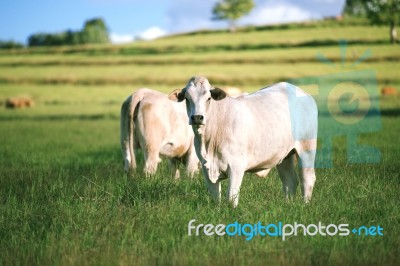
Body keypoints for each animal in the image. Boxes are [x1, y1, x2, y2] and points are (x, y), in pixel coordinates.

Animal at [169, 76, 318, 207]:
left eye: (209, 98)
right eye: (187, 98)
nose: (197, 117)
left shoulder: (236, 166)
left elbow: (231, 198)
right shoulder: (207, 168)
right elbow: (216, 197)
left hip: (307, 148)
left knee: (307, 178)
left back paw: (304, 205)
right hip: (284, 155)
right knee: (290, 181)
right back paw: (288, 204)